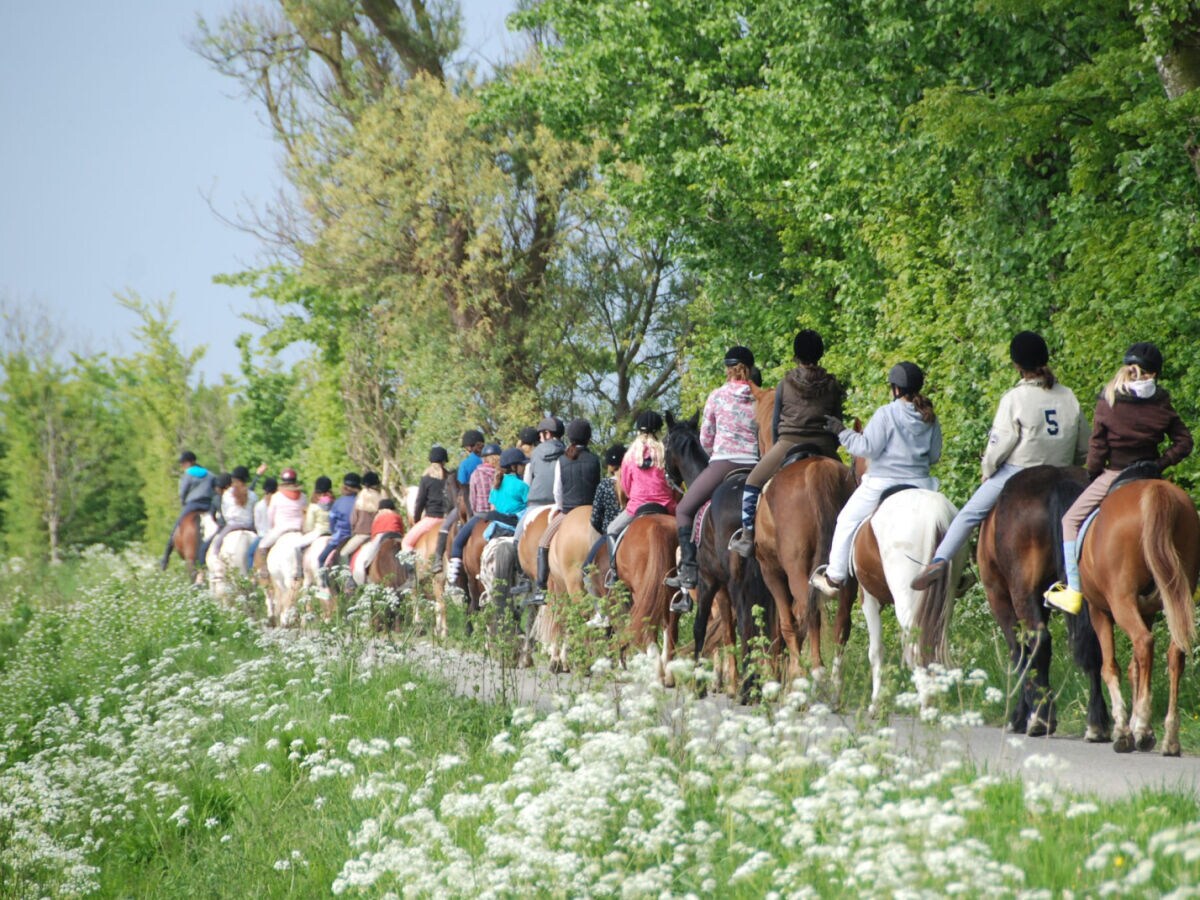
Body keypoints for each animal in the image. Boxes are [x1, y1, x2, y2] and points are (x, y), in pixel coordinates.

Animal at [974, 465, 1104, 739]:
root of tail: (1056, 479)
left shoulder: (999, 597)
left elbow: (1018, 650)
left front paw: (1021, 716)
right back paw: (1097, 723)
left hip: (1020, 593)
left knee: (1038, 642)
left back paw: (1042, 719)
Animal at [1080, 475, 1200, 758]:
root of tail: (1156, 490)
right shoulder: (1146, 612)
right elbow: (1135, 668)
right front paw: (1135, 726)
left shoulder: (1099, 611)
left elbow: (1110, 667)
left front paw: (1125, 730)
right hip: (1177, 595)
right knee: (1174, 652)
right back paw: (1170, 738)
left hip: (1121, 601)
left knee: (1144, 642)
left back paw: (1143, 727)